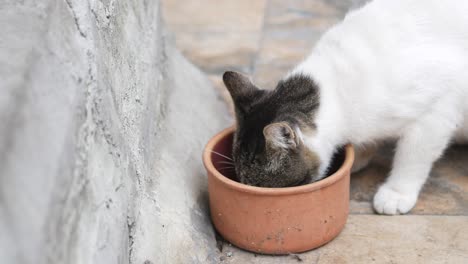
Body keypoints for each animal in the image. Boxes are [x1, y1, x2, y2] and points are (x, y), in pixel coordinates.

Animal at [224, 0, 468, 214]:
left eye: (259, 185)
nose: (245, 189)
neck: (336, 88)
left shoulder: (437, 109)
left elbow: (412, 157)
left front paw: (396, 192)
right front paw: (360, 155)